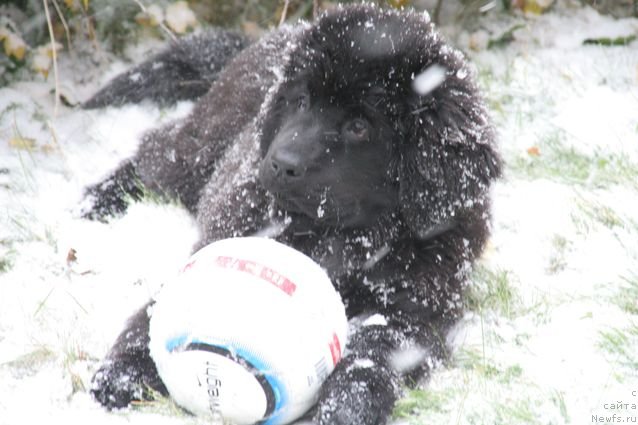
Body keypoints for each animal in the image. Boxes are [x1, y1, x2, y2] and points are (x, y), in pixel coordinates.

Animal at [85, 4, 502, 424]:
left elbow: (375, 355)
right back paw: (95, 202)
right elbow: (152, 314)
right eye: (301, 102)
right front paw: (121, 375)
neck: (344, 239)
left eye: (359, 126)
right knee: (157, 154)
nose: (281, 164)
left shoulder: (417, 311)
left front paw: (344, 408)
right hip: (204, 146)